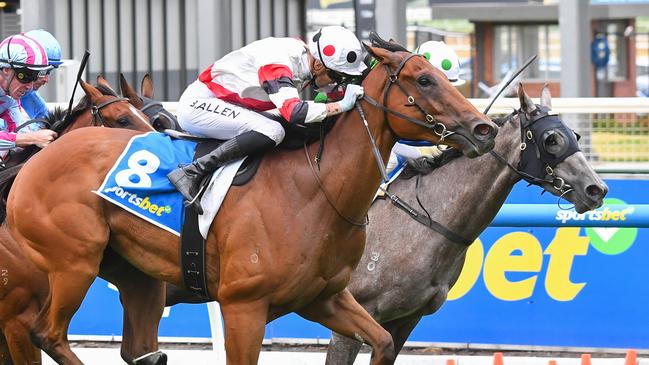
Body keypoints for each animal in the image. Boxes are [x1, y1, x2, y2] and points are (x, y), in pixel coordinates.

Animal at [324, 84, 608, 362]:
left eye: (575, 135)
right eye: (551, 139)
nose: (597, 189)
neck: (422, 221)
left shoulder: (404, 320)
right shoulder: (352, 319)